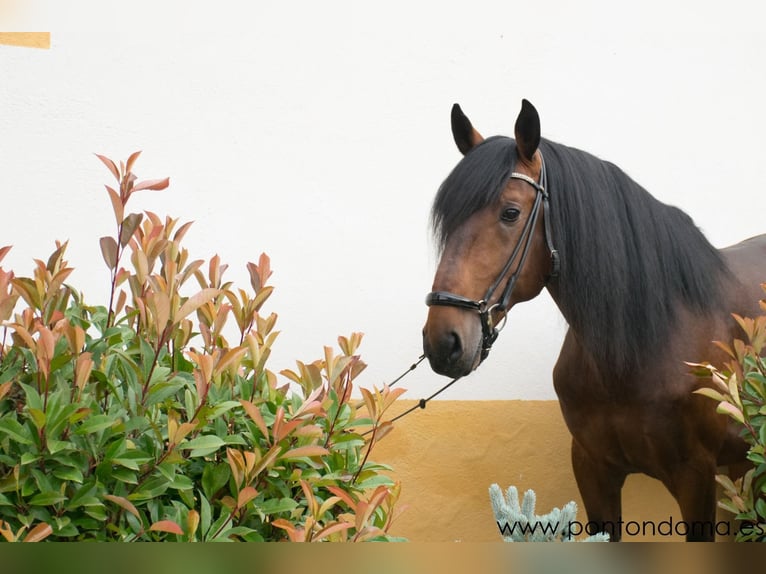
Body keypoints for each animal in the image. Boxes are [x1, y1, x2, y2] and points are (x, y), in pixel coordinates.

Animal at [424, 100, 766, 544]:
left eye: (510, 213)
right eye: (446, 222)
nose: (443, 341)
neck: (640, 347)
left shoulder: (696, 478)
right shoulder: (593, 470)